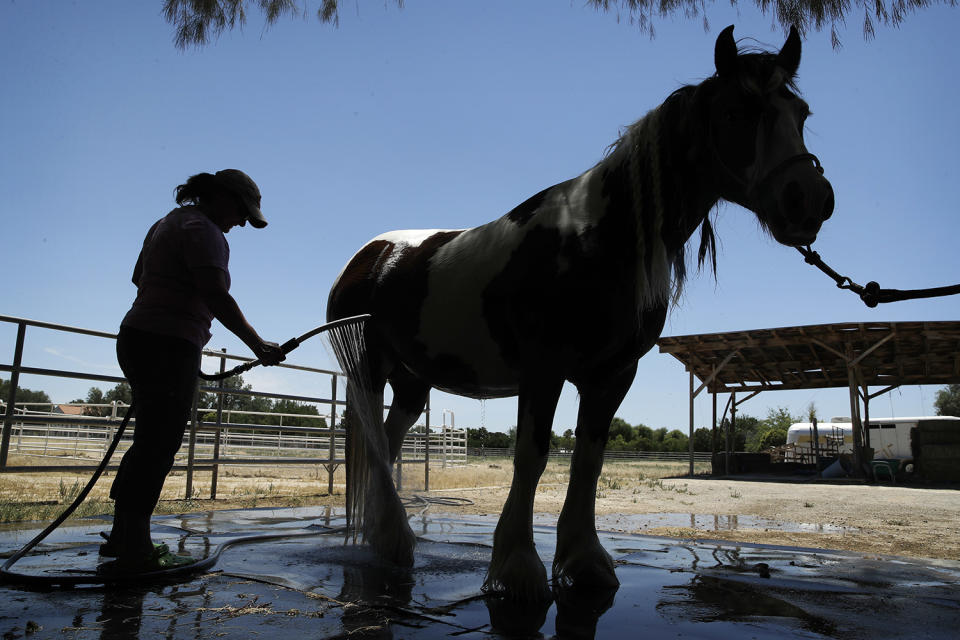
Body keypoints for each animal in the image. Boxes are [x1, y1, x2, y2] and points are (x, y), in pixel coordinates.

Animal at [324, 25, 832, 604]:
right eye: (734, 112)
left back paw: (386, 539)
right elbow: (533, 455)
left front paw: (584, 561)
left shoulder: (612, 374)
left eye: (801, 112)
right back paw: (392, 540)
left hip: (413, 382)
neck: (597, 239)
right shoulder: (543, 369)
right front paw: (516, 568)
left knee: (385, 444)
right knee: (373, 444)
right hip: (367, 369)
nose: (810, 200)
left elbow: (588, 460)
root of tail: (367, 258)